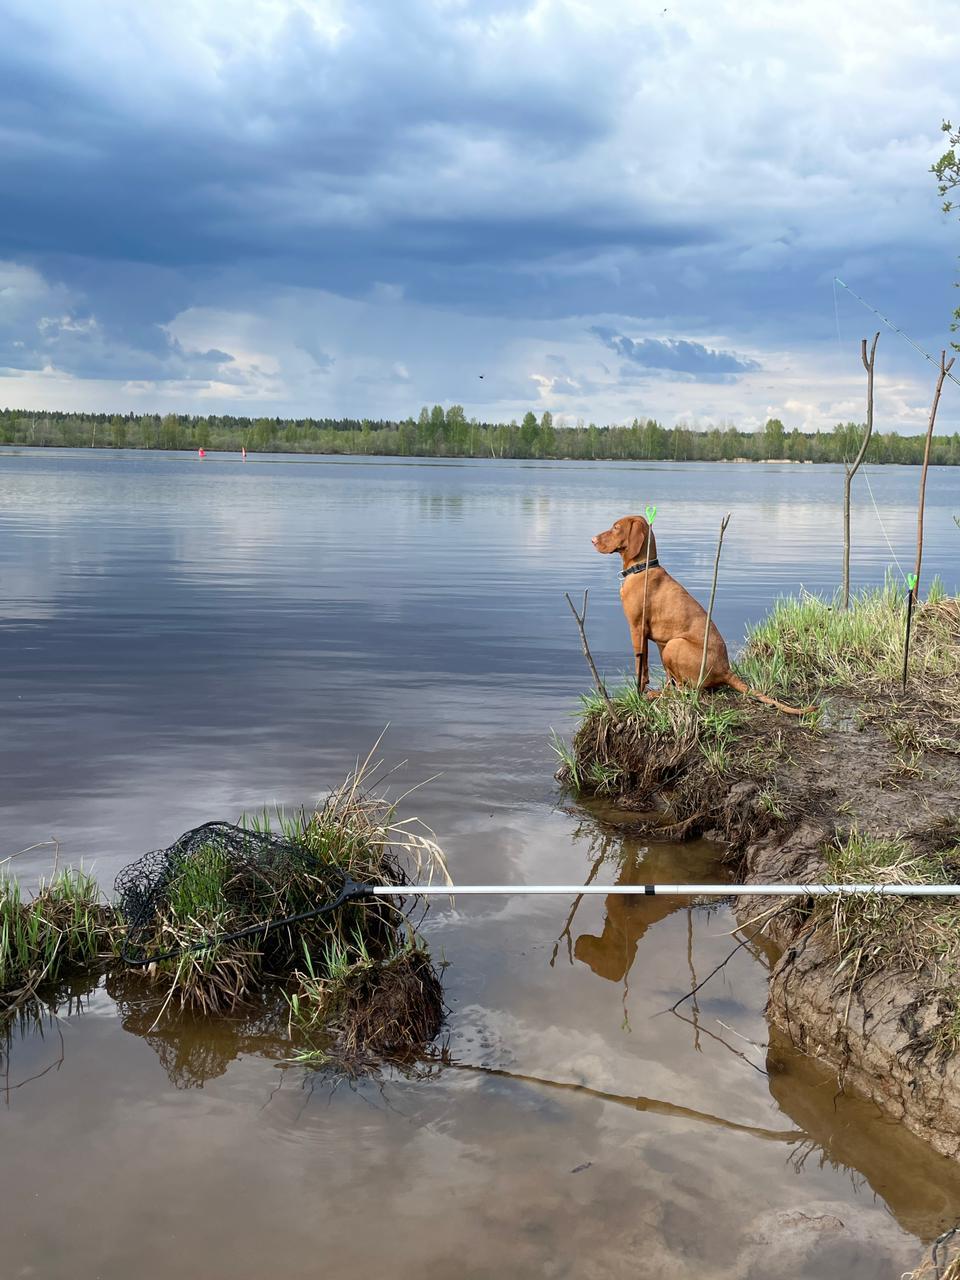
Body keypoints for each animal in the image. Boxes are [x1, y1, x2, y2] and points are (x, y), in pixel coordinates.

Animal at [593, 519, 814, 721]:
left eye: (616, 527)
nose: (592, 540)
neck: (642, 568)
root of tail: (726, 669)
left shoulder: (637, 628)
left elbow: (640, 666)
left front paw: (637, 694)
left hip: (674, 644)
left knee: (686, 690)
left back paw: (655, 695)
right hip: (665, 646)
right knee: (676, 685)